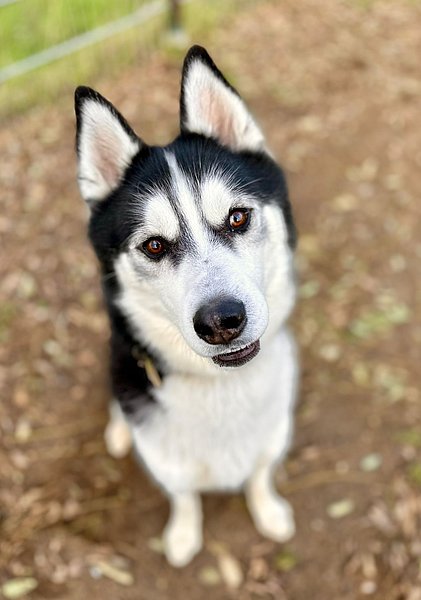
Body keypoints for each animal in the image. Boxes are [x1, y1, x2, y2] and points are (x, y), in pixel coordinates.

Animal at [74, 45, 298, 567]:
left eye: (237, 217)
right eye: (154, 246)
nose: (221, 322)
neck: (222, 388)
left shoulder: (272, 433)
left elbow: (260, 474)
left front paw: (269, 512)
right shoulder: (166, 460)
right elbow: (183, 497)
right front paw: (182, 536)